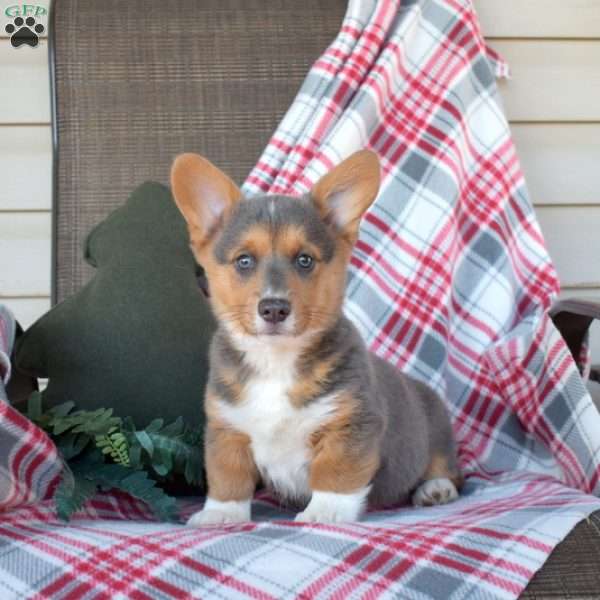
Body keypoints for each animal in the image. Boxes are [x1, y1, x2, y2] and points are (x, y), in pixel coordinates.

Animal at [171, 151, 462, 524]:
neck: (276, 361)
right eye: (244, 261)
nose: (274, 309)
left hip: (437, 433)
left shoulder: (350, 424)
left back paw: (435, 489)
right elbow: (228, 476)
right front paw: (221, 514)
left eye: (305, 260)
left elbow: (335, 473)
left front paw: (325, 512)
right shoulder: (227, 428)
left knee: (448, 470)